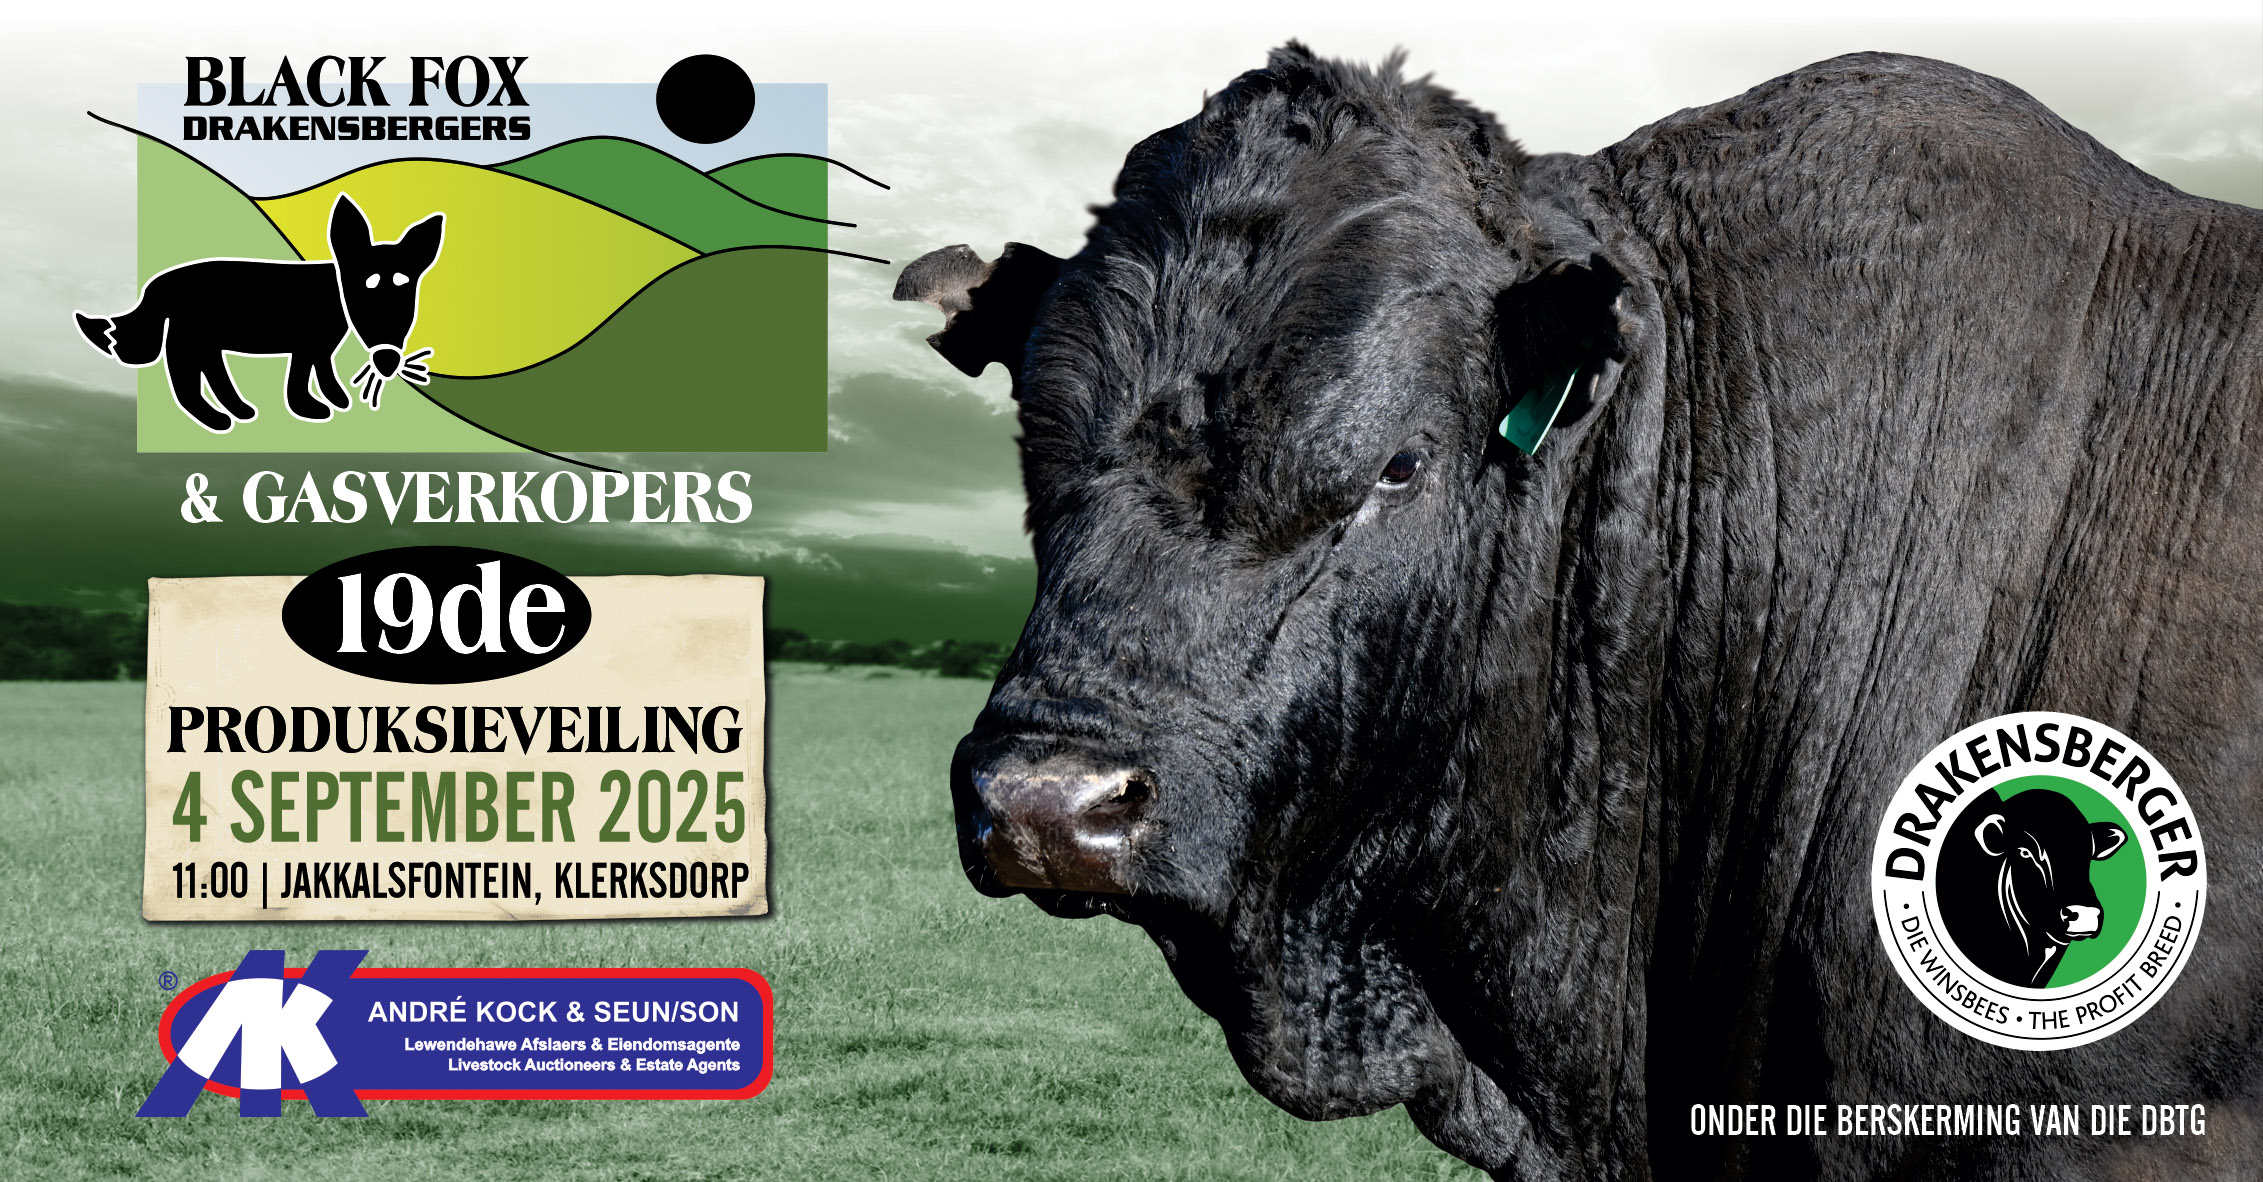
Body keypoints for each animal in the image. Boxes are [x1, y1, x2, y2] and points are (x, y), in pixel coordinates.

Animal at [75, 192, 443, 434]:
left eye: (404, 284)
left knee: (209, 373)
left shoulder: (320, 346)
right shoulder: (306, 344)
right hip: (192, 336)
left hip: (206, 340)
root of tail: (162, 281)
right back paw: (216, 419)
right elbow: (299, 379)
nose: (388, 360)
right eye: (367, 283)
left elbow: (322, 373)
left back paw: (238, 410)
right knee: (186, 378)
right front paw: (309, 409)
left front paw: (335, 401)